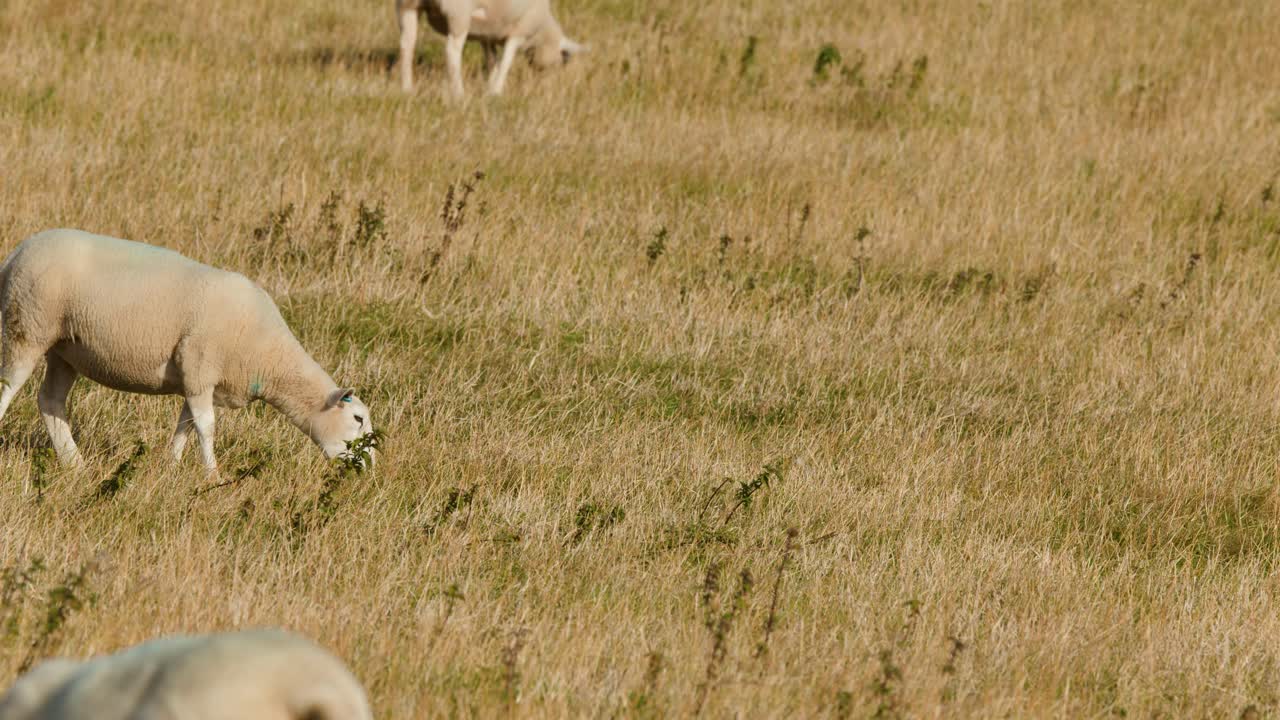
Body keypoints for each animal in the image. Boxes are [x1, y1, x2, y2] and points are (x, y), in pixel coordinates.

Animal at [0, 228, 374, 473]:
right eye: (357, 419)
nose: (370, 466)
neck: (269, 357)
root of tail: (17, 252)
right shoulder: (199, 368)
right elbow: (206, 428)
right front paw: (212, 474)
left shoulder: (195, 379)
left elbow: (186, 425)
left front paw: (172, 466)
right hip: (27, 329)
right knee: (9, 387)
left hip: (64, 350)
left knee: (50, 401)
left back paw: (75, 464)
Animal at [396, 0, 585, 97]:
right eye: (563, 58)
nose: (547, 82)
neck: (541, 30)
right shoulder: (519, 31)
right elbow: (506, 62)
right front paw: (496, 91)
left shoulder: (487, 35)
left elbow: (492, 60)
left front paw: (489, 86)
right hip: (459, 13)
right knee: (452, 51)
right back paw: (459, 93)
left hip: (408, 6)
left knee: (407, 45)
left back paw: (407, 88)